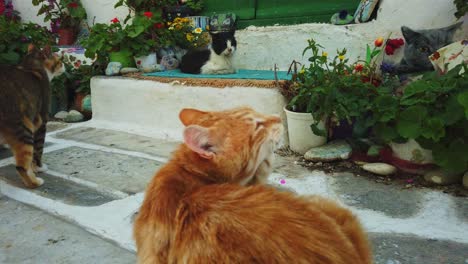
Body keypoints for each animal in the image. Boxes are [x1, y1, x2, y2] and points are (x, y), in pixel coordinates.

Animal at [0, 44, 64, 188]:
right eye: (59, 60)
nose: (64, 65)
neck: (31, 65)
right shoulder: (42, 121)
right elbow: (38, 149)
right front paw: (39, 168)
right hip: (24, 127)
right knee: (21, 166)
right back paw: (35, 182)